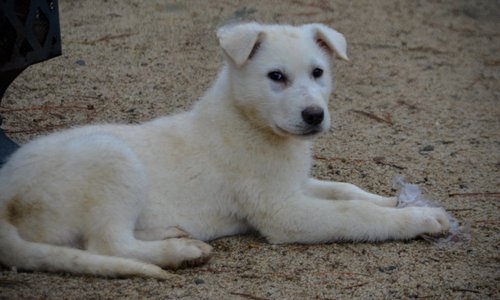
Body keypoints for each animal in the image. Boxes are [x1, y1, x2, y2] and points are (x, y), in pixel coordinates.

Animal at [0, 22, 452, 278]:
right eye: (276, 77)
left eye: (318, 72)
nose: (314, 115)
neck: (250, 123)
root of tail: (6, 194)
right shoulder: (283, 212)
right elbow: (354, 214)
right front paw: (419, 219)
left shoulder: (294, 185)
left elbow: (347, 191)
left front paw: (397, 200)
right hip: (110, 156)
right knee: (108, 245)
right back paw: (180, 252)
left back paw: (173, 233)